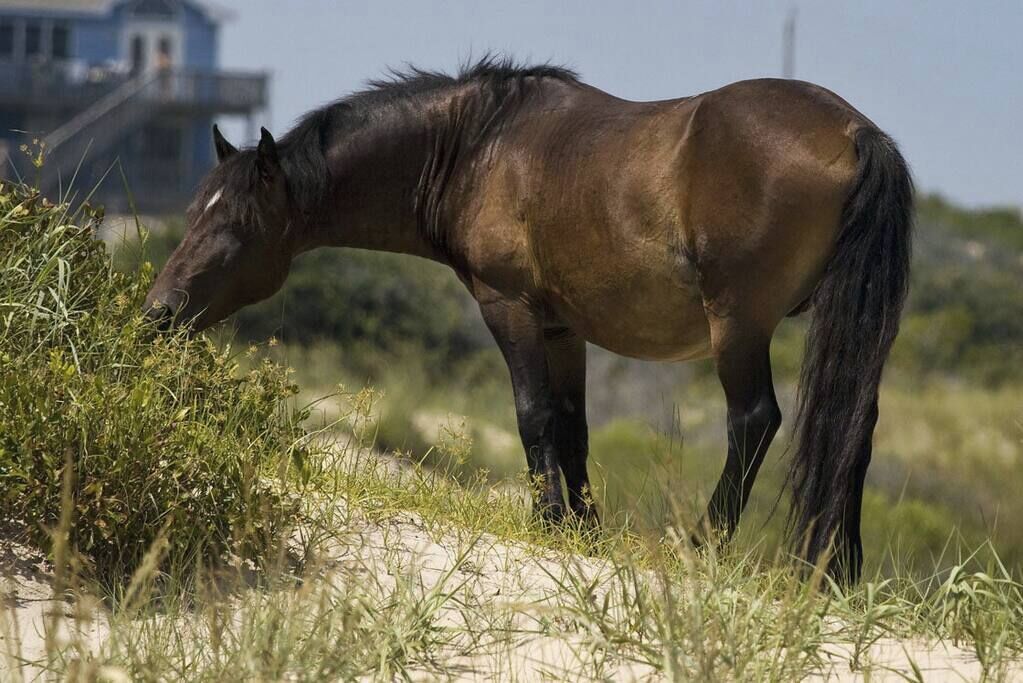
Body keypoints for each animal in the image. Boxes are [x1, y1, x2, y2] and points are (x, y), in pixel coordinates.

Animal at [144, 58, 912, 583]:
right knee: (854, 429)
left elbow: (531, 414)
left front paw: (548, 523)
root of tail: (855, 132)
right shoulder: (561, 327)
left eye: (236, 226)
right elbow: (571, 426)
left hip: (739, 325)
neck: (476, 146)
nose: (160, 311)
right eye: (192, 211)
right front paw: (583, 531)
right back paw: (835, 574)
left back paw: (704, 544)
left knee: (753, 421)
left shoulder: (507, 306)